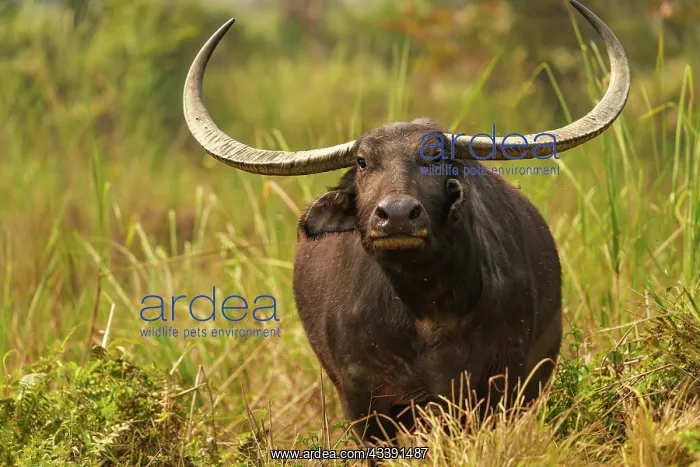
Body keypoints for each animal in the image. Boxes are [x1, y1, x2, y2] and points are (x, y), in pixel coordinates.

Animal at [183, 0, 629, 447]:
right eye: (362, 161)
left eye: (436, 156)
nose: (397, 214)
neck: (426, 310)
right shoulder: (362, 397)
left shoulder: (497, 385)